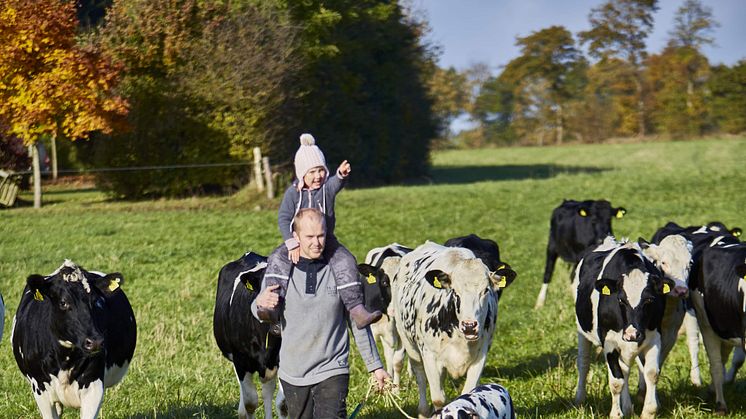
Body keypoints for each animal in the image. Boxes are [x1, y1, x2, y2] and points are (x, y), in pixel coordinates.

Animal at [10, 260, 136, 418]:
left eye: (96, 301)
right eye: (63, 302)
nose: (95, 342)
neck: (65, 360)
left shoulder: (93, 386)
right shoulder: (40, 388)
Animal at [390, 241, 512, 418]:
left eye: (485, 290)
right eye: (455, 291)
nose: (469, 326)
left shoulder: (480, 356)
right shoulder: (429, 355)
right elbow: (438, 398)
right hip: (410, 345)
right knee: (420, 375)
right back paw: (423, 410)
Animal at [572, 238, 672, 418]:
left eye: (649, 300)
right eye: (620, 300)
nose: (632, 334)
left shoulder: (654, 337)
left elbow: (651, 373)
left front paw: (648, 411)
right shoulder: (609, 343)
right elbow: (616, 381)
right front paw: (616, 414)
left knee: (625, 370)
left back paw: (627, 407)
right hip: (581, 331)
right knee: (584, 363)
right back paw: (580, 399)